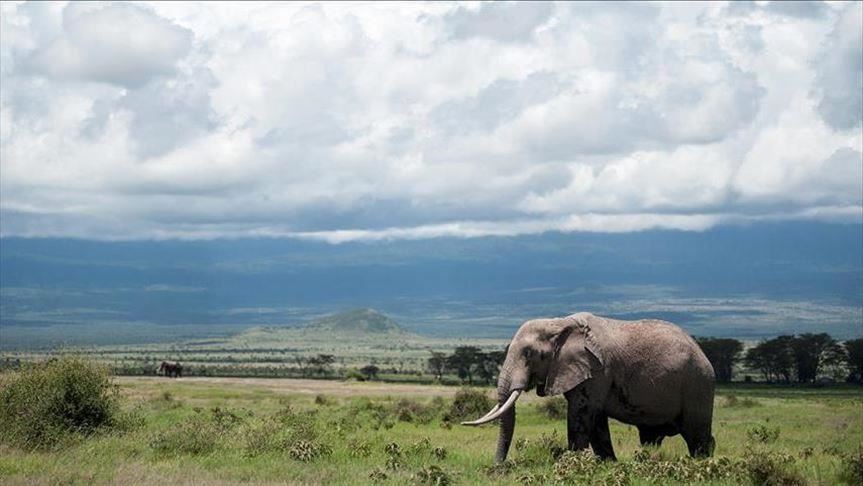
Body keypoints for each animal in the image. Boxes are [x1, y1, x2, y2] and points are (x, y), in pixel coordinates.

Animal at [462, 312, 720, 464]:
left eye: (528, 354)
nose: (499, 468)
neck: (559, 323)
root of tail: (703, 353)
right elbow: (596, 421)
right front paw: (608, 465)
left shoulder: (597, 371)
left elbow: (581, 415)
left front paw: (573, 464)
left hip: (698, 385)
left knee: (696, 434)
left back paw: (702, 462)